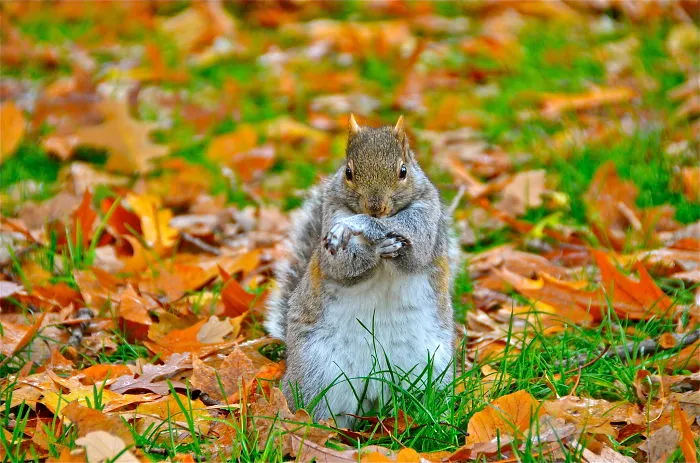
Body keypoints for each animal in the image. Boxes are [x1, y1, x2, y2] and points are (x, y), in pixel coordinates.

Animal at [265, 115, 458, 427]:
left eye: (403, 171)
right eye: (348, 172)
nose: (374, 207)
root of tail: (375, 391)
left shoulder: (428, 219)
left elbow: (416, 250)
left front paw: (363, 225)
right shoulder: (330, 222)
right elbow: (343, 266)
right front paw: (366, 239)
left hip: (431, 370)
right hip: (319, 375)